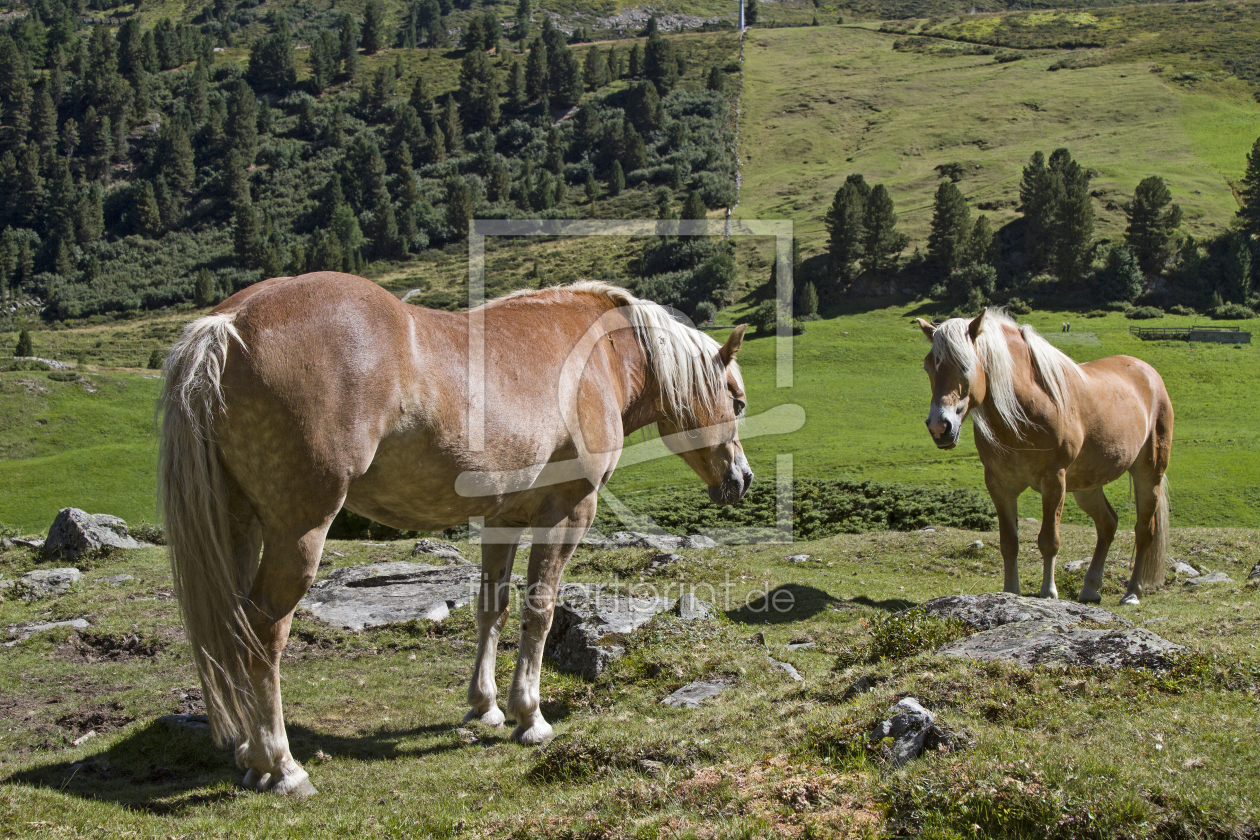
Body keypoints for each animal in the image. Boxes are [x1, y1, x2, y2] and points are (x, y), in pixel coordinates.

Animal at [157, 273, 745, 800]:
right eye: (736, 401)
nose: (742, 478)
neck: (600, 354)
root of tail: (229, 324)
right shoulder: (568, 513)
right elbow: (539, 610)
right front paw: (530, 716)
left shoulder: (502, 519)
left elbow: (492, 609)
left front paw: (485, 706)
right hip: (296, 531)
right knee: (264, 634)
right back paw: (281, 766)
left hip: (238, 525)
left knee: (233, 629)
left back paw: (249, 756)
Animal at [917, 308, 1169, 604]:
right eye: (928, 367)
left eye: (966, 365)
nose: (939, 427)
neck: (1025, 414)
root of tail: (1147, 372)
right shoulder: (999, 484)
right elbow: (1009, 542)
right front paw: (1010, 591)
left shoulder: (1054, 481)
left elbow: (1049, 540)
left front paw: (1048, 593)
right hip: (1087, 486)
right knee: (1108, 524)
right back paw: (1090, 588)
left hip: (1148, 474)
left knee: (1144, 531)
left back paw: (1132, 592)